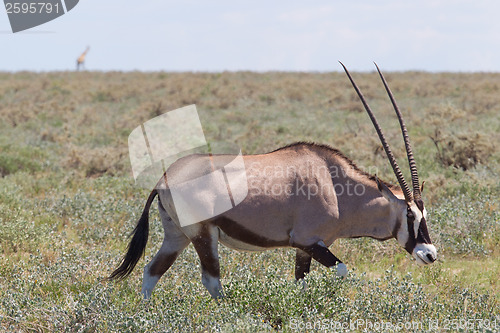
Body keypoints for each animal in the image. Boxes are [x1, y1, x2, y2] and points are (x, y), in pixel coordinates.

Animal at [110, 63, 438, 296]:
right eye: (409, 215)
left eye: (425, 215)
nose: (430, 254)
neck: (336, 187)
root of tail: (165, 177)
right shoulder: (308, 240)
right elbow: (342, 270)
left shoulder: (305, 248)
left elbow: (300, 282)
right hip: (203, 235)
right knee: (211, 280)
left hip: (176, 235)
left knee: (151, 272)